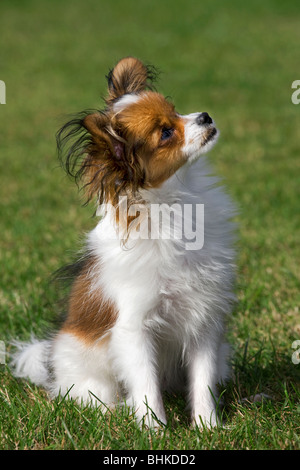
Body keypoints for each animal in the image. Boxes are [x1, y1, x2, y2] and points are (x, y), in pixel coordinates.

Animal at [11, 57, 237, 428]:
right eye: (165, 132)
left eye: (176, 111)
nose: (205, 116)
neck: (177, 201)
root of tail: (51, 364)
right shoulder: (134, 327)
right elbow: (146, 386)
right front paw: (155, 429)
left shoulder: (201, 319)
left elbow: (202, 381)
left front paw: (208, 427)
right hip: (92, 378)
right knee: (96, 397)